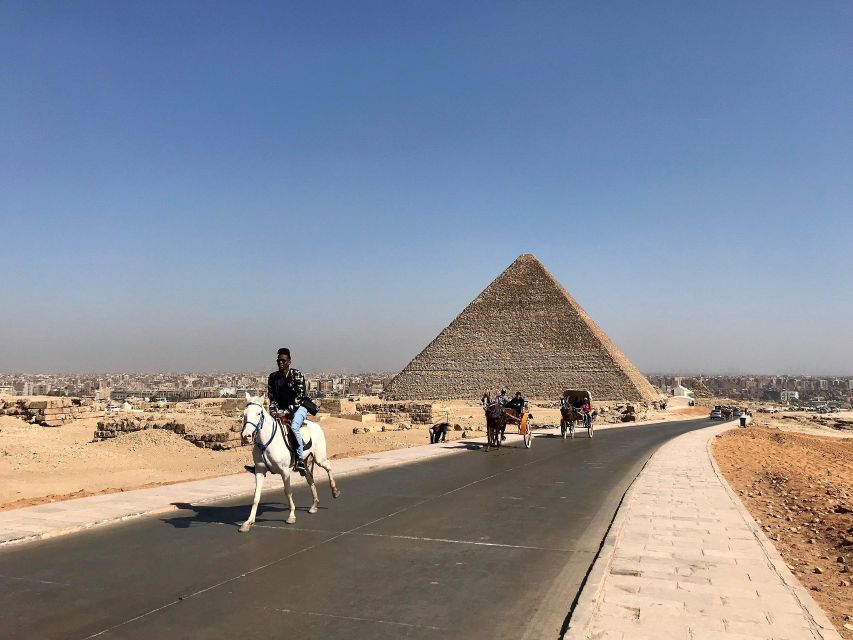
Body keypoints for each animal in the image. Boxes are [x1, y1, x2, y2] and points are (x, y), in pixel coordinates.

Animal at [236, 392, 340, 532]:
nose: (246, 436)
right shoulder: (259, 471)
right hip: (304, 463)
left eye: (258, 413)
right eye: (244, 414)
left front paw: (291, 516)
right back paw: (314, 505)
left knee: (328, 466)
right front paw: (248, 522)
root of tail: (315, 425)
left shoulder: (284, 471)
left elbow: (288, 492)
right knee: (310, 478)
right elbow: (256, 495)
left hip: (319, 458)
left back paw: (334, 491)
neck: (266, 442)